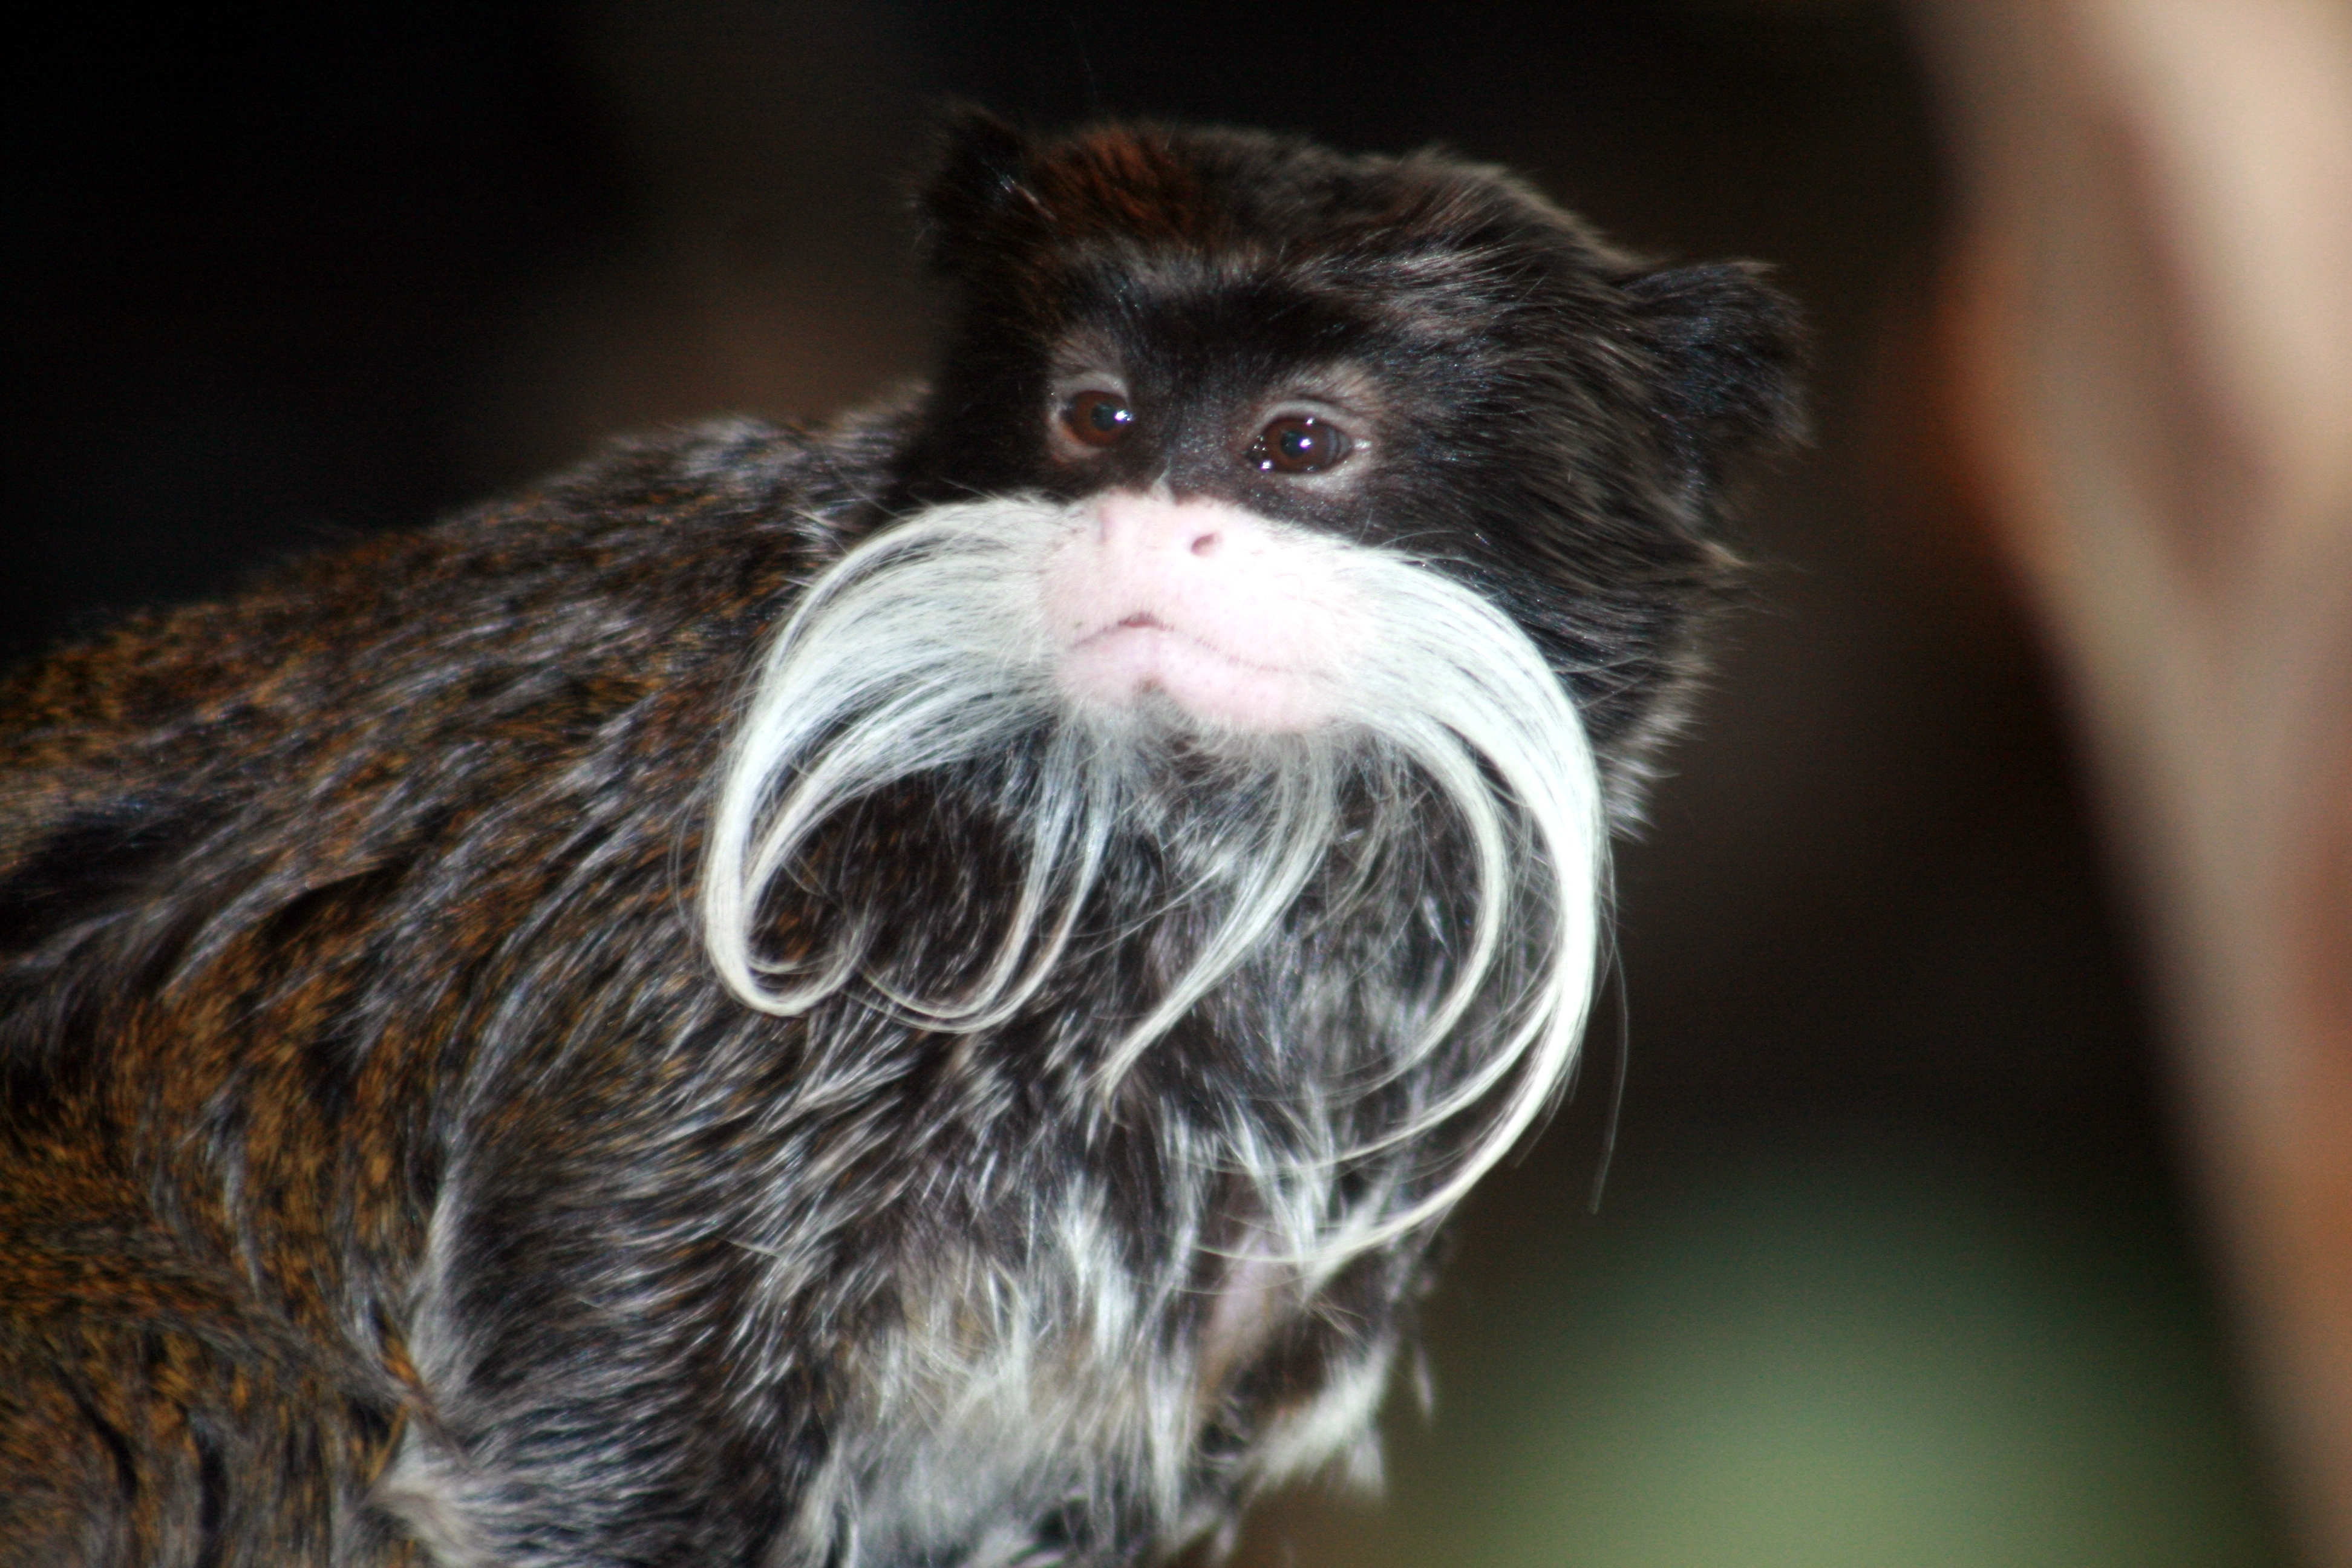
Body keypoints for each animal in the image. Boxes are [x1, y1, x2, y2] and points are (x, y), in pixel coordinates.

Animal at [0, 112, 1801, 1567]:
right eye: (1097, 415)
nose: (1146, 522)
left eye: (1298, 443)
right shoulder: (678, 1000)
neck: (1146, 885)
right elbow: (587, 1444)